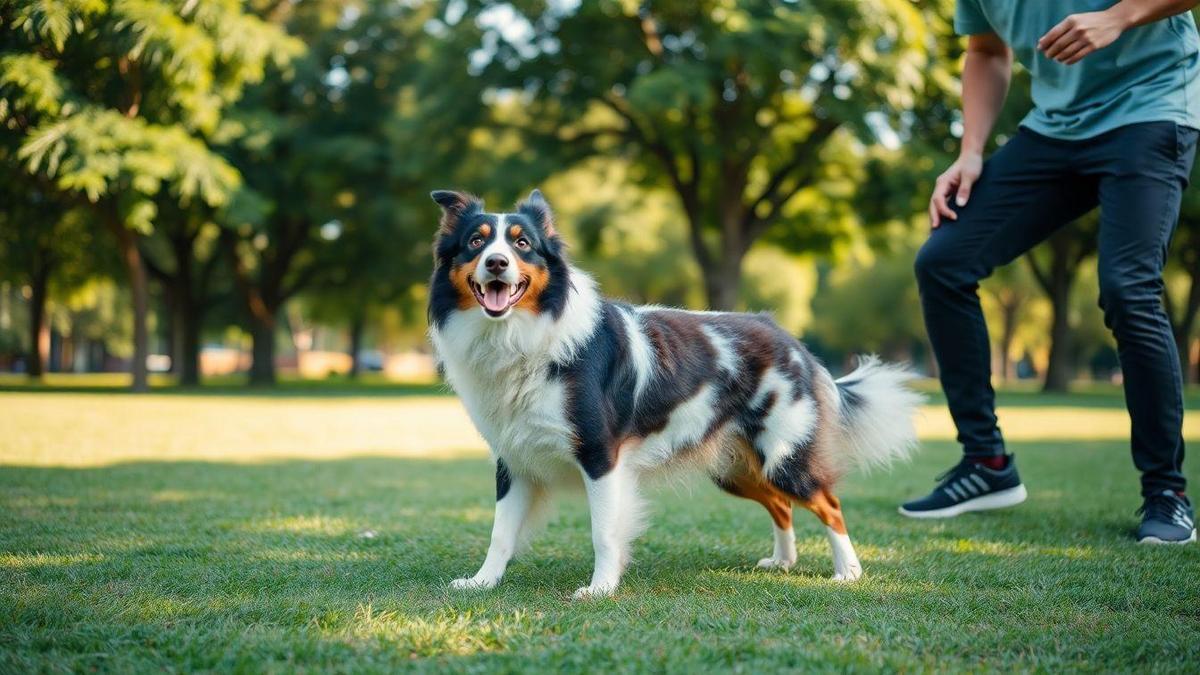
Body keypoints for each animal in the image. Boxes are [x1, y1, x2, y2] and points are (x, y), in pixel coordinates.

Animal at [427, 186, 921, 595]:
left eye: (522, 244)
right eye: (476, 242)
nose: (496, 263)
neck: (523, 336)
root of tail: (789, 338)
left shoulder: (600, 457)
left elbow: (603, 532)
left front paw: (601, 589)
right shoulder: (514, 458)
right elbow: (500, 532)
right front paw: (482, 582)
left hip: (784, 455)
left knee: (827, 502)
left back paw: (848, 571)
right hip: (737, 467)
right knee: (781, 505)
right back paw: (783, 561)